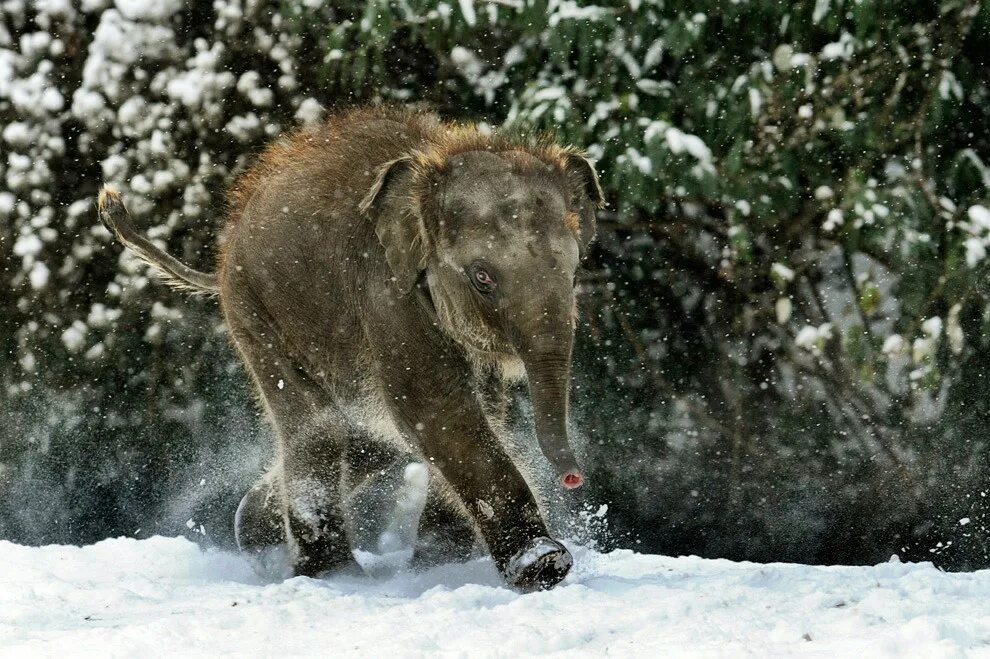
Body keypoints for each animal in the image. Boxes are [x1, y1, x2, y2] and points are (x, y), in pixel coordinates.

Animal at [104, 105, 608, 592]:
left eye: (575, 272)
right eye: (482, 277)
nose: (573, 478)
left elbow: (470, 410)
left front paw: (442, 562)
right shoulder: (386, 293)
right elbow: (436, 410)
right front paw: (541, 566)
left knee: (366, 439)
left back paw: (257, 532)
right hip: (253, 312)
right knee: (319, 427)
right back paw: (331, 574)